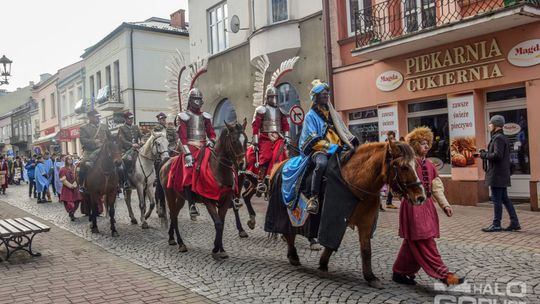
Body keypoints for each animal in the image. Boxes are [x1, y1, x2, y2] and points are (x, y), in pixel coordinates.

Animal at [158, 120, 247, 260]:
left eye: (246, 140)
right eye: (233, 141)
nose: (243, 164)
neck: (217, 170)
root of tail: (166, 162)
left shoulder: (225, 201)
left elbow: (221, 223)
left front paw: (221, 249)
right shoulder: (209, 201)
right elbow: (218, 224)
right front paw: (215, 249)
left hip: (180, 198)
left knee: (174, 215)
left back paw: (172, 239)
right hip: (170, 195)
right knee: (173, 215)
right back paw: (181, 244)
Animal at [266, 140, 426, 288]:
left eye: (416, 166)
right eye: (404, 167)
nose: (421, 197)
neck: (356, 183)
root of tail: (279, 166)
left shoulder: (366, 223)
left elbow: (366, 249)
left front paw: (370, 277)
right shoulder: (335, 218)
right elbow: (331, 243)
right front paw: (323, 265)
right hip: (282, 212)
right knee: (288, 233)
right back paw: (293, 255)